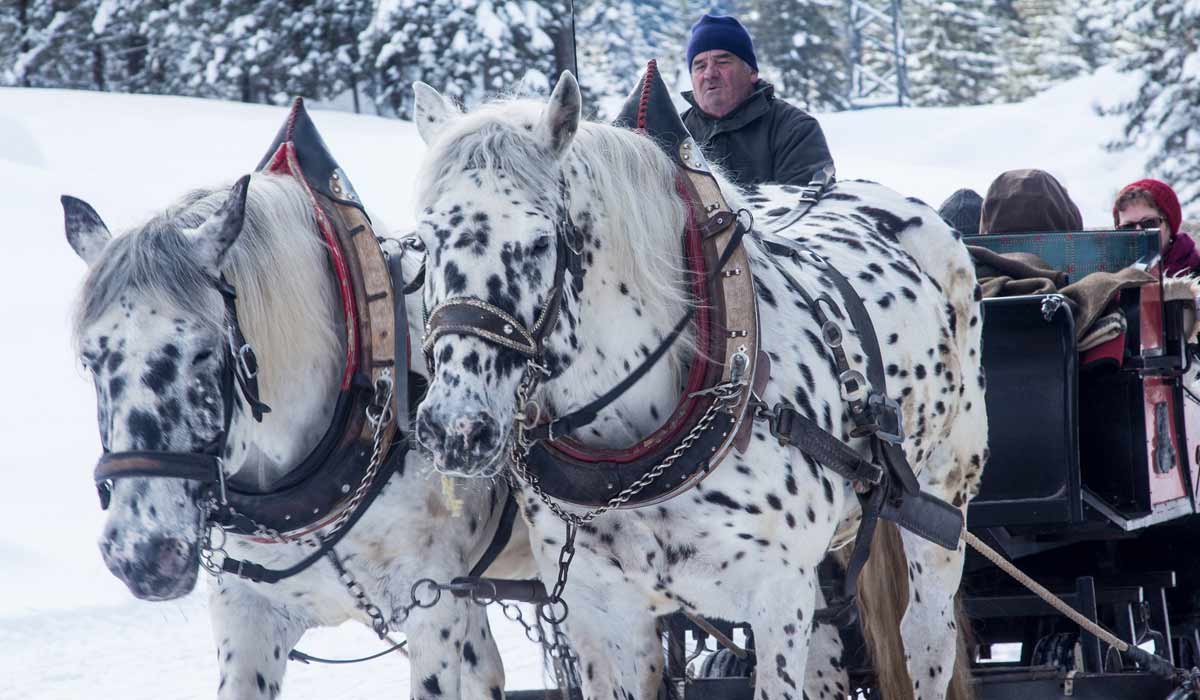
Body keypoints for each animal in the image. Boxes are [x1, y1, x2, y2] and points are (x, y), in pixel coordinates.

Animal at [408, 67, 988, 700]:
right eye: (422, 243)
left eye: (539, 242)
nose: (454, 429)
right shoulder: (603, 615)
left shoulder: (776, 594)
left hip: (943, 496)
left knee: (926, 637)